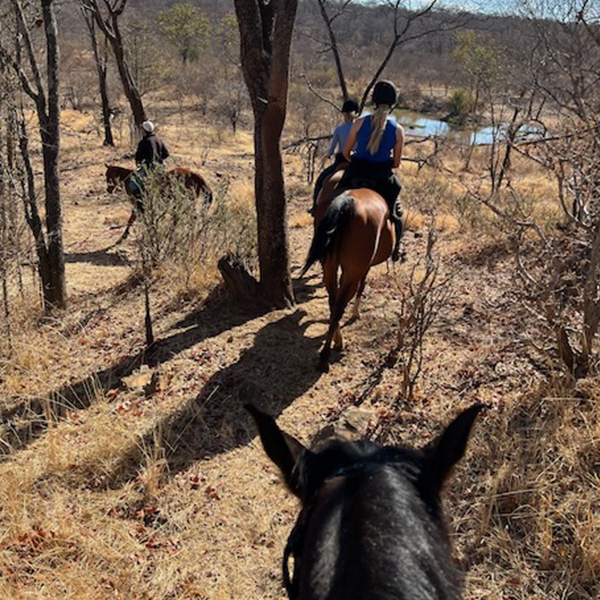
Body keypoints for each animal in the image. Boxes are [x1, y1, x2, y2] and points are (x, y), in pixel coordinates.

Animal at [300, 169, 395, 372]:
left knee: (333, 299)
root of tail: (347, 201)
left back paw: (336, 341)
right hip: (353, 270)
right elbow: (362, 285)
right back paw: (325, 357)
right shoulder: (363, 267)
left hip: (330, 264)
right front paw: (356, 313)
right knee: (339, 304)